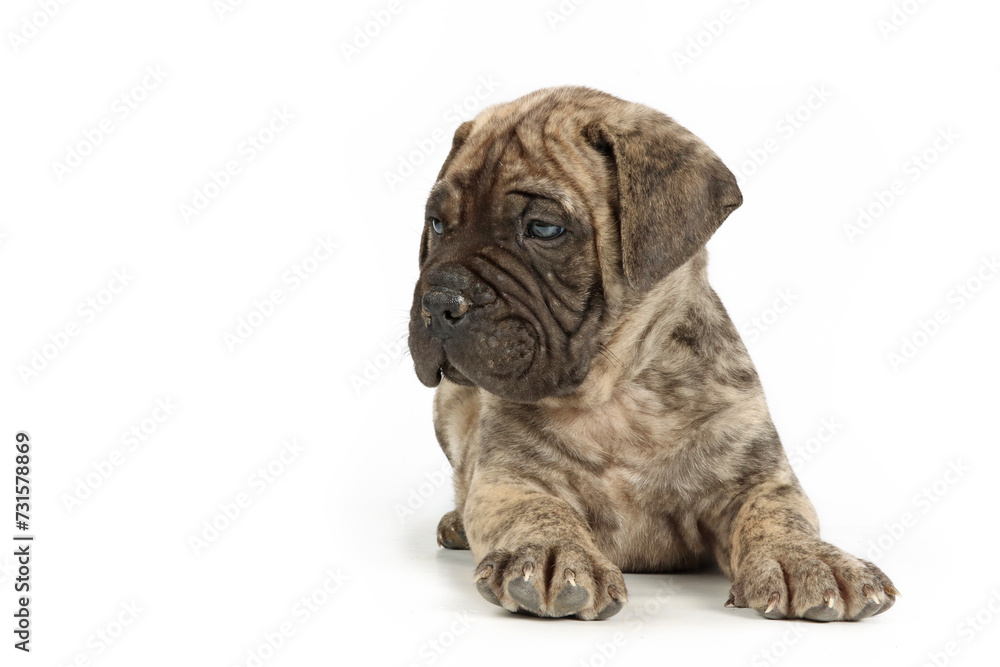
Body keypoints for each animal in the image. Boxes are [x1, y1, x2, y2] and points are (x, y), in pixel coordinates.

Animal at [406, 86, 900, 624]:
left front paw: (809, 560)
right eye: (437, 224)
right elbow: (537, 511)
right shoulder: (511, 480)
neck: (615, 390)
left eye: (543, 229)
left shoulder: (758, 480)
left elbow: (776, 518)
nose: (439, 301)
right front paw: (552, 553)